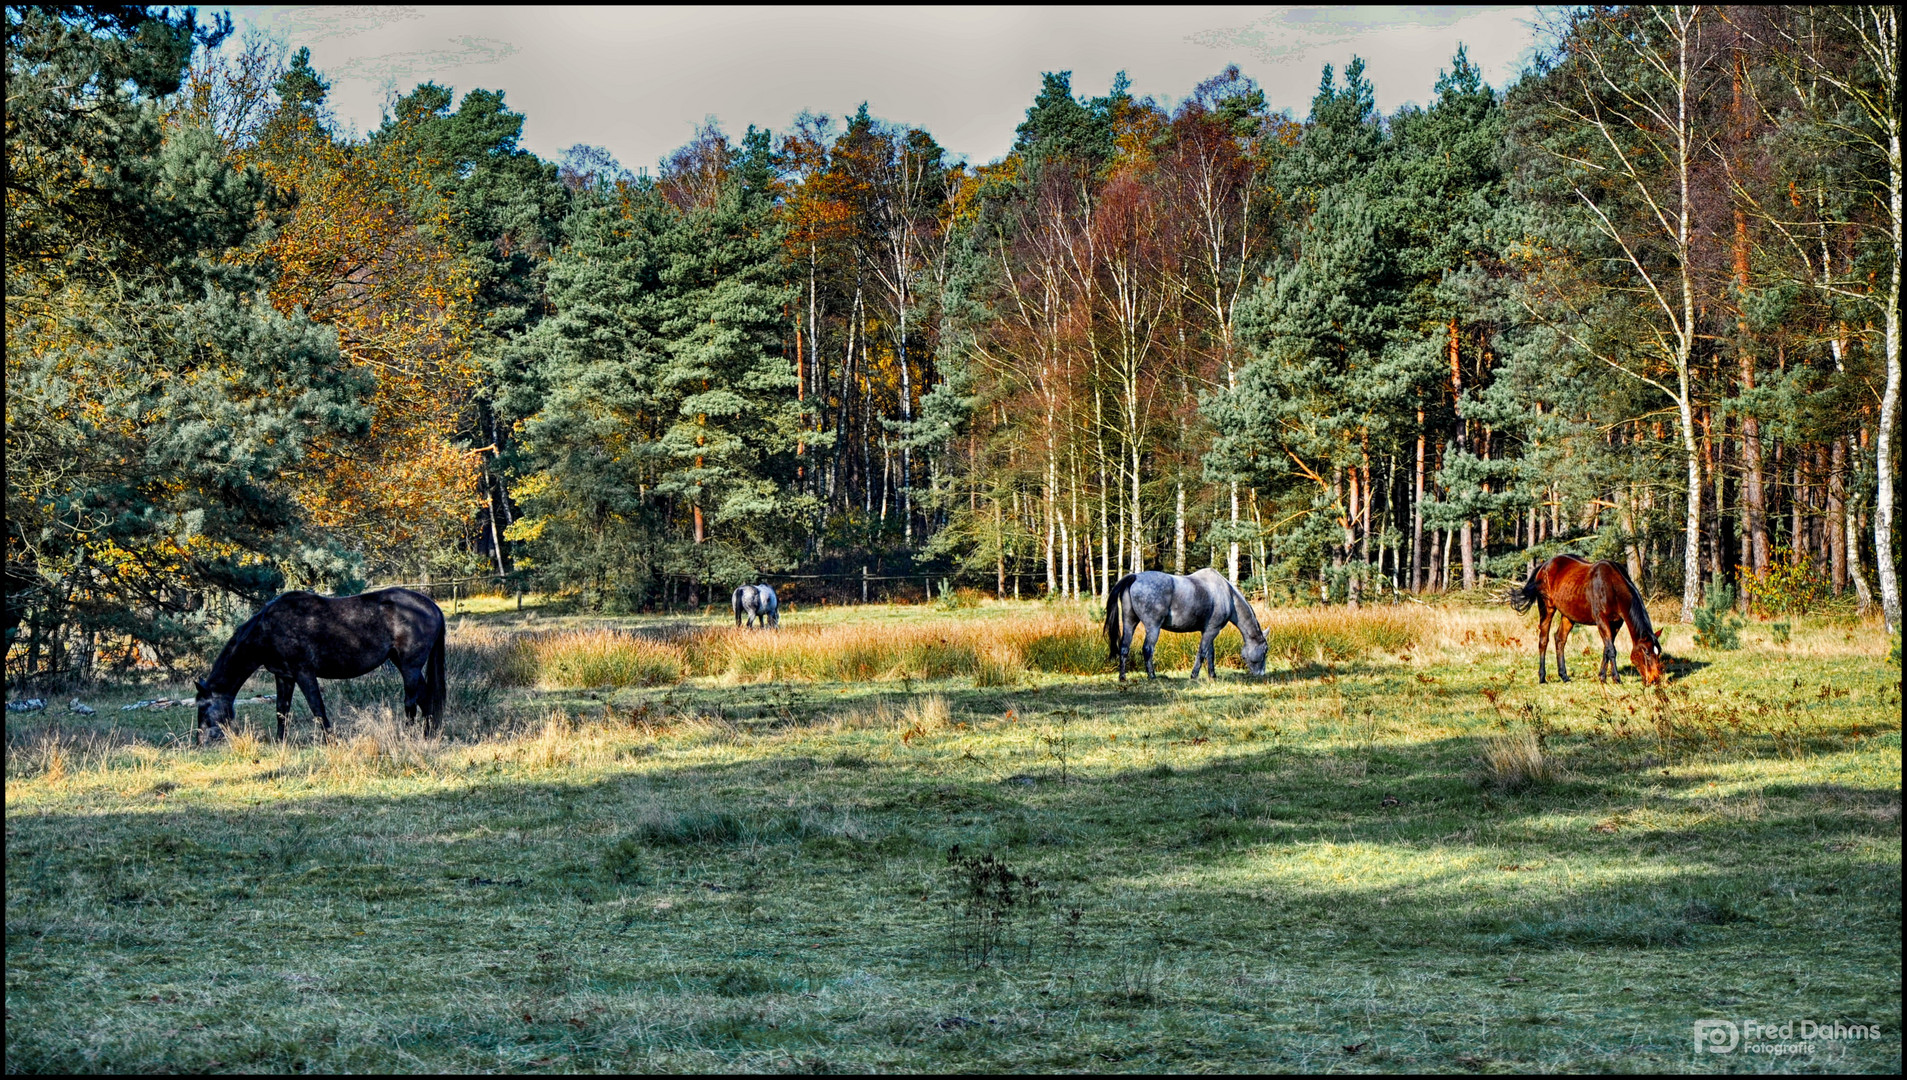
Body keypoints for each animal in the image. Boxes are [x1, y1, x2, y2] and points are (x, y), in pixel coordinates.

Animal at [196, 591, 446, 744]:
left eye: (203, 707)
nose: (200, 741)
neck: (268, 629)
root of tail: (432, 606)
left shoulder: (304, 672)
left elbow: (317, 707)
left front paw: (330, 741)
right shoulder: (284, 676)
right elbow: (281, 710)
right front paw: (280, 742)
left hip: (409, 667)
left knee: (411, 702)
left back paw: (410, 736)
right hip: (403, 664)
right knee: (426, 699)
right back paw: (429, 735)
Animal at [1106, 572, 1266, 683]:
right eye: (1265, 650)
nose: (1261, 674)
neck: (1228, 595)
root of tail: (1135, 577)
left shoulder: (1209, 631)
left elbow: (1210, 653)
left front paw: (1212, 675)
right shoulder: (1212, 631)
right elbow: (1202, 652)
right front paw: (1194, 675)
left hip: (1129, 622)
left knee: (1124, 648)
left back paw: (1122, 677)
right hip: (1153, 628)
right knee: (1147, 649)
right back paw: (1152, 676)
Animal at [1510, 557, 1662, 686]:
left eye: (1658, 652)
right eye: (1646, 652)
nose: (1654, 679)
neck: (1612, 586)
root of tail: (1544, 565)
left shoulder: (1616, 623)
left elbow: (1606, 649)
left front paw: (1602, 677)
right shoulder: (1602, 620)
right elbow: (1611, 650)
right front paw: (1617, 679)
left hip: (1568, 615)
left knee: (1560, 639)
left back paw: (1564, 676)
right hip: (1547, 608)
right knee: (1543, 640)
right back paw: (1542, 678)